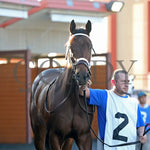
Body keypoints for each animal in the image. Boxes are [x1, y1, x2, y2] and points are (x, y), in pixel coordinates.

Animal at [29, 19, 94, 150]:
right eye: (70, 46)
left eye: (90, 46)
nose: (82, 75)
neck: (73, 100)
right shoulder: (54, 136)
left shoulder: (84, 137)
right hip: (39, 134)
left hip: (68, 140)